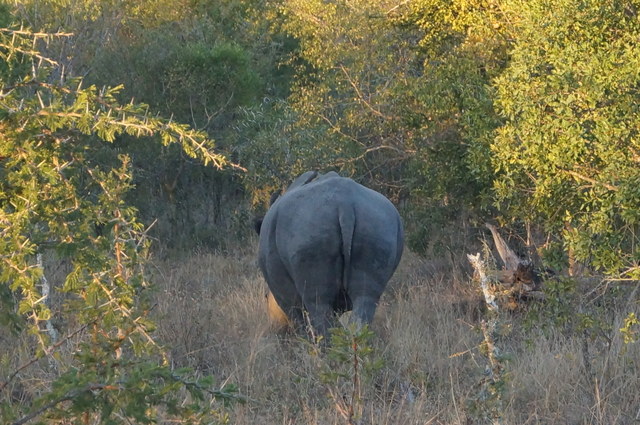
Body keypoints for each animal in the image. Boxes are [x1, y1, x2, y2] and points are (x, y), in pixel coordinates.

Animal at [257, 171, 404, 337]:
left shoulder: (284, 295)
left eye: (265, 297)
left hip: (308, 229)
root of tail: (345, 204)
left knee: (318, 304)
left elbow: (298, 319)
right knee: (365, 298)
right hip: (378, 225)